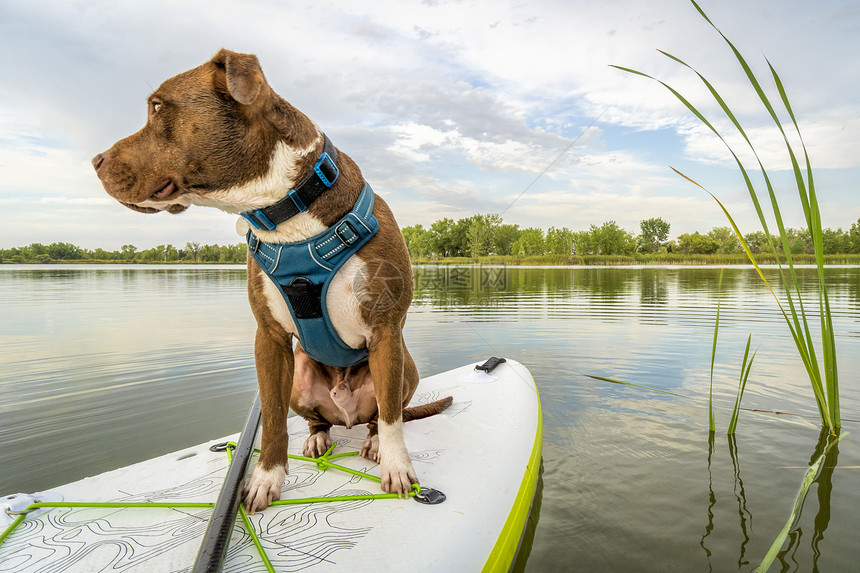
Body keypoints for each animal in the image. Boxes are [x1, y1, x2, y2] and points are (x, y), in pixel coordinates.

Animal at [90, 49, 434, 512]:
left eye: (158, 106)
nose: (95, 162)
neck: (286, 209)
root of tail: (345, 409)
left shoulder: (385, 330)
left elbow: (392, 416)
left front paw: (397, 468)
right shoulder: (268, 339)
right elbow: (271, 417)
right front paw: (267, 478)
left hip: (406, 366)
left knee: (380, 414)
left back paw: (374, 443)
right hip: (301, 378)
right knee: (316, 420)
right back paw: (318, 439)